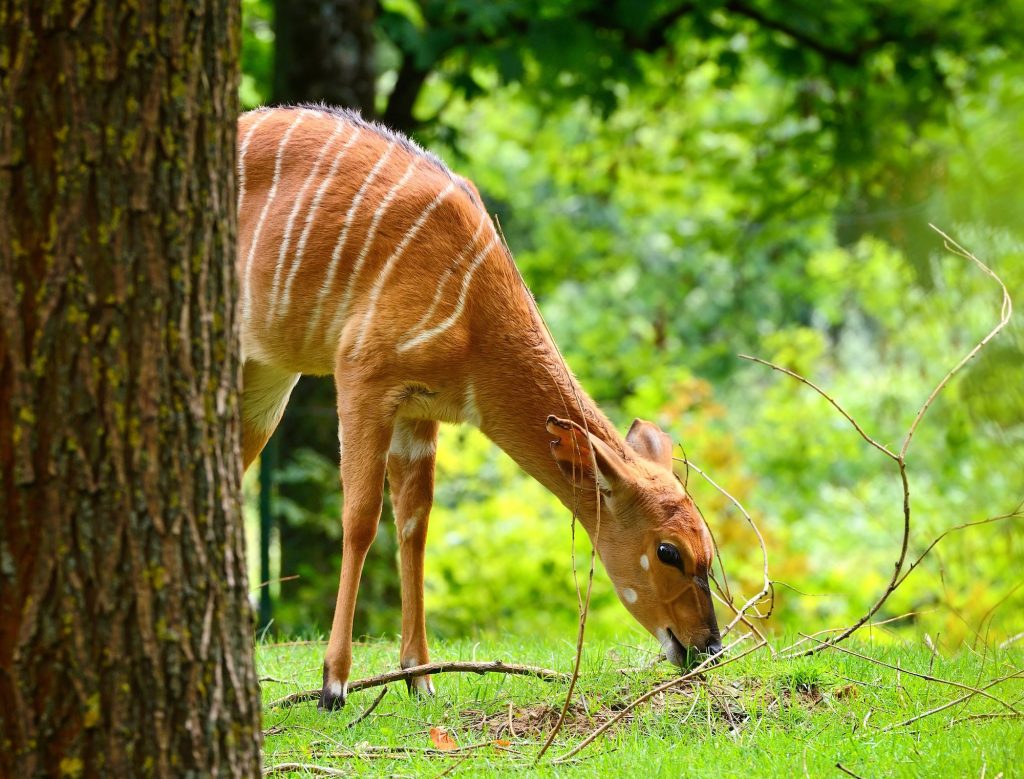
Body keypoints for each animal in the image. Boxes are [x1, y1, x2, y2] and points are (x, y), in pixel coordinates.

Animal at [238, 106, 720, 708]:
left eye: (709, 547)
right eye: (669, 551)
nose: (708, 647)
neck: (473, 320)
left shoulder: (417, 411)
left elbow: (415, 524)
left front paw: (420, 678)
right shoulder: (361, 377)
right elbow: (360, 520)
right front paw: (334, 683)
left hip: (269, 373)